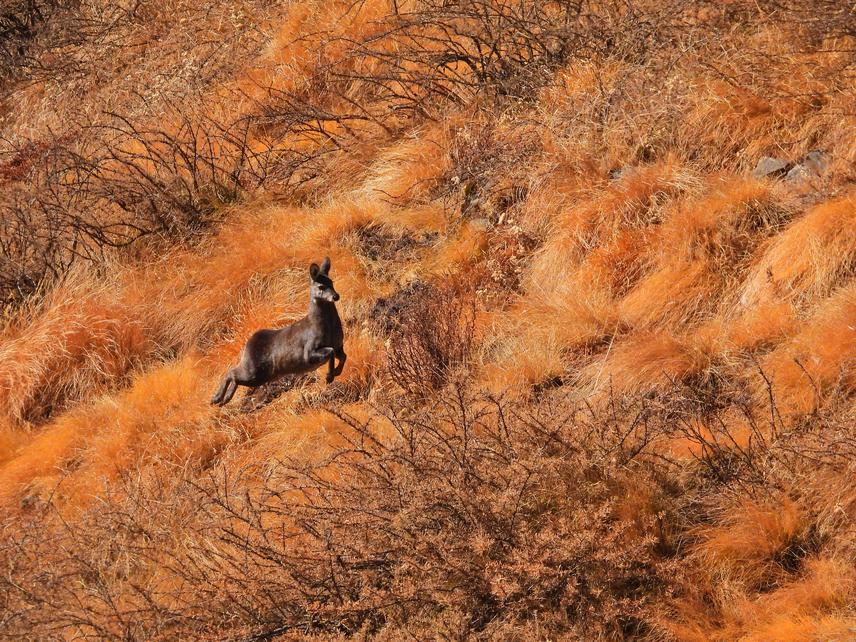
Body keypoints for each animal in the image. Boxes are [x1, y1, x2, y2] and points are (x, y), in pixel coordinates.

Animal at [210, 256, 344, 402]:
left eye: (331, 282)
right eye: (321, 286)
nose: (336, 296)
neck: (327, 327)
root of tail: (248, 344)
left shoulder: (339, 345)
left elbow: (343, 357)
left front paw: (336, 372)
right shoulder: (308, 352)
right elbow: (330, 352)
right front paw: (329, 377)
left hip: (260, 375)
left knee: (235, 375)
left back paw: (224, 399)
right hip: (254, 371)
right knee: (232, 372)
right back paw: (217, 398)